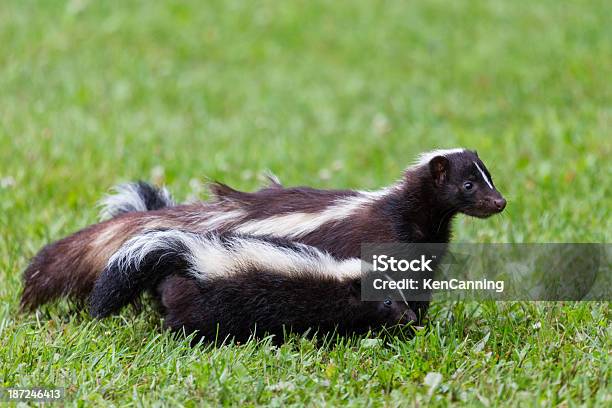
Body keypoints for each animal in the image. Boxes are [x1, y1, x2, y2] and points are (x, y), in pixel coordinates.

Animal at [20, 148, 506, 324]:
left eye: (489, 176)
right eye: (468, 185)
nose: (500, 202)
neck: (414, 216)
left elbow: (417, 288)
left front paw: (418, 323)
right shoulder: (381, 239)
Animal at [88, 231, 418, 342]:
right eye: (387, 302)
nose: (412, 318)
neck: (335, 277)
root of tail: (197, 257)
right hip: (216, 303)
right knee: (187, 321)